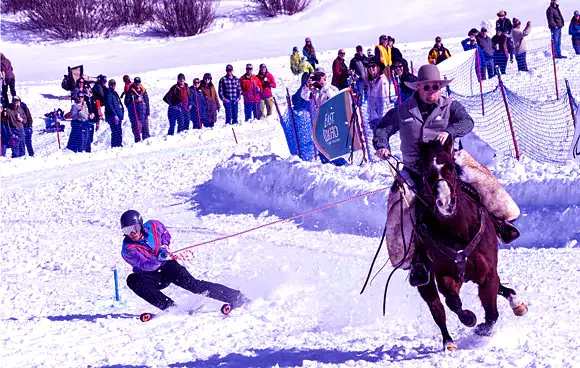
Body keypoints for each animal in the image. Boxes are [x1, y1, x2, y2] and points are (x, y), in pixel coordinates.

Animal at [410, 137, 528, 350]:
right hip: (425, 281)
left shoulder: (487, 272)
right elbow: (453, 302)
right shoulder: (445, 275)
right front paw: (470, 319)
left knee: (501, 290)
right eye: (424, 170)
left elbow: (492, 312)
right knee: (438, 310)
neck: (459, 231)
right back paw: (448, 341)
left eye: (451, 166)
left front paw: (483, 328)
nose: (445, 202)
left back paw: (516, 303)